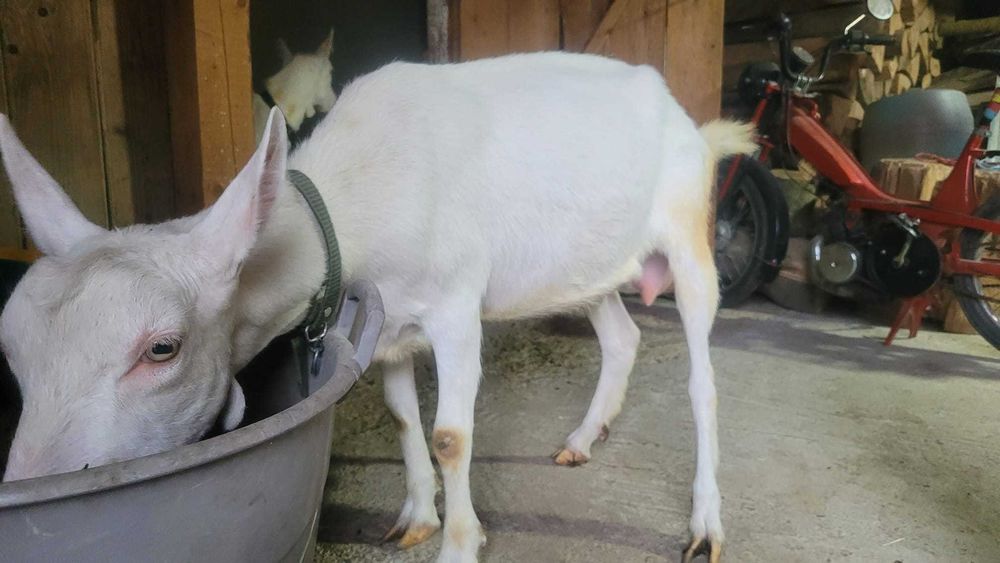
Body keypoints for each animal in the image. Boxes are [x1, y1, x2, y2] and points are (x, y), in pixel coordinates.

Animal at [0, 52, 754, 562]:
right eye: (12, 347)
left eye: (162, 348)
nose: (34, 483)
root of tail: (684, 115)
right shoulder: (391, 322)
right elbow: (399, 414)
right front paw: (416, 515)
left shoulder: (455, 306)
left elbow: (451, 436)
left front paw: (460, 543)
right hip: (589, 266)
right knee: (621, 336)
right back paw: (581, 438)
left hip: (689, 235)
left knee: (704, 381)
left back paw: (706, 523)